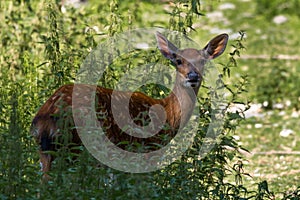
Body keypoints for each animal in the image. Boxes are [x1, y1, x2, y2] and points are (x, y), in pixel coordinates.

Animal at [31, 31, 227, 180]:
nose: (192, 76)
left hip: (47, 151)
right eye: (178, 61)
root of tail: (48, 116)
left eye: (203, 61)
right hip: (95, 147)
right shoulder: (147, 152)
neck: (168, 114)